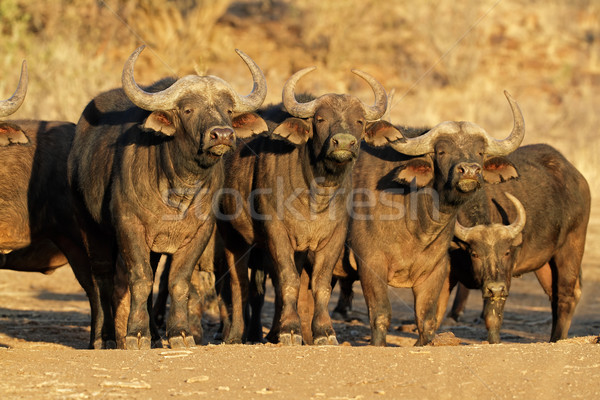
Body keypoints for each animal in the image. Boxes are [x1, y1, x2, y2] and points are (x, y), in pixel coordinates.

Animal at [68, 45, 268, 348]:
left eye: (228, 110)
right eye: (188, 109)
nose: (222, 134)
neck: (179, 189)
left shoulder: (199, 232)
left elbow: (178, 280)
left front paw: (179, 333)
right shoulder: (129, 226)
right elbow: (140, 278)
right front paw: (135, 333)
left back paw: (154, 334)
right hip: (90, 226)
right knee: (102, 279)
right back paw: (105, 338)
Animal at [346, 90, 524, 344]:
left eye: (480, 152)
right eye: (442, 151)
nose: (469, 171)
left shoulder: (436, 269)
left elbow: (427, 319)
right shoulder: (370, 263)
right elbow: (380, 314)